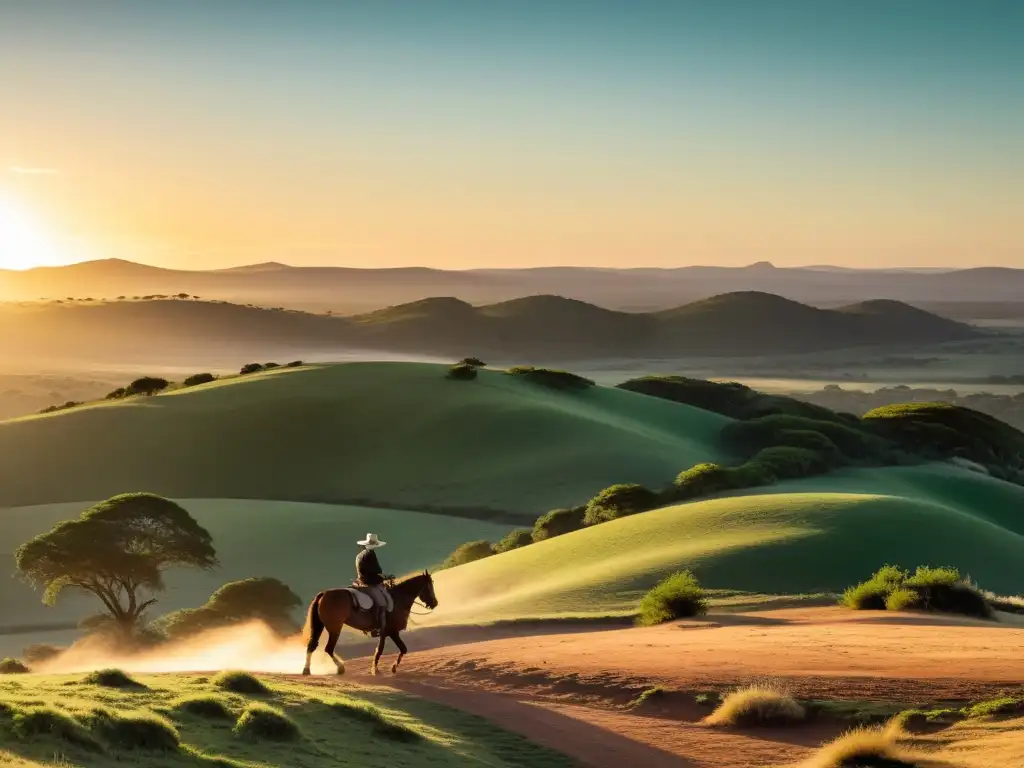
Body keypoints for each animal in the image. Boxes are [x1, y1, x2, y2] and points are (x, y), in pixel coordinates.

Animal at [299, 569, 436, 675]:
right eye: (430, 586)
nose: (435, 603)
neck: (398, 599)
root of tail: (323, 594)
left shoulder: (389, 633)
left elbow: (402, 649)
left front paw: (392, 668)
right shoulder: (391, 631)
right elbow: (381, 650)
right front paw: (376, 670)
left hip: (320, 626)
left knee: (312, 646)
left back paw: (306, 670)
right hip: (335, 628)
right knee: (328, 648)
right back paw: (340, 668)